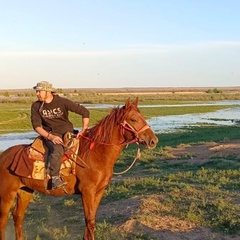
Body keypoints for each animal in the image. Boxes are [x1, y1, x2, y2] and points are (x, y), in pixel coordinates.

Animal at [0, 98, 158, 240]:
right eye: (133, 119)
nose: (153, 140)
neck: (96, 154)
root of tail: (3, 156)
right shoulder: (87, 191)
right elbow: (90, 221)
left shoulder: (99, 191)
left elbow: (91, 221)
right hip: (7, 194)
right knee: (3, 220)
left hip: (25, 191)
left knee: (18, 216)